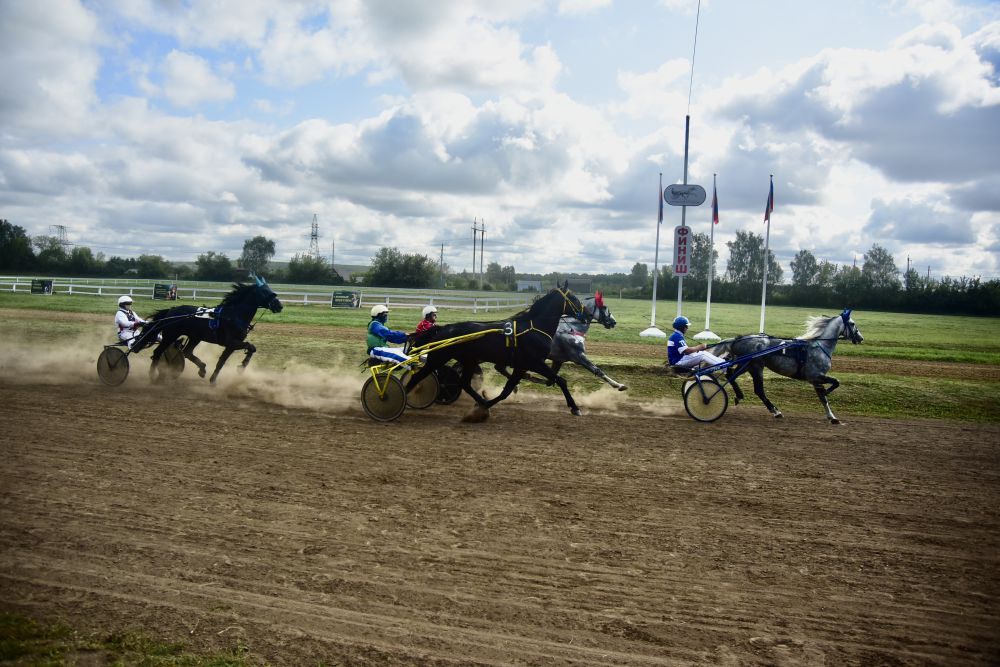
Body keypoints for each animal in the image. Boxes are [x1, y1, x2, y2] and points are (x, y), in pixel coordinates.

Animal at [135, 274, 284, 384]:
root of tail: (171, 310)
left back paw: (202, 369)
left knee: (187, 352)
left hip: (195, 337)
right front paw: (242, 366)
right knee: (158, 352)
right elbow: (251, 347)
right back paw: (153, 375)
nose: (279, 306)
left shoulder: (231, 345)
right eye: (265, 292)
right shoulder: (232, 342)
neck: (233, 315)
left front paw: (213, 380)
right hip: (170, 335)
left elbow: (222, 362)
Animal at [406, 286, 584, 418]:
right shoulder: (535, 362)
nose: (587, 314)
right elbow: (561, 381)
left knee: (464, 383)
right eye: (575, 298)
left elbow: (507, 390)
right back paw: (406, 396)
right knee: (417, 377)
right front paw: (575, 407)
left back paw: (480, 400)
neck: (533, 329)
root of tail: (443, 328)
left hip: (468, 360)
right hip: (438, 358)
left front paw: (485, 404)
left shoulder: (521, 366)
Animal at [712, 310, 860, 426]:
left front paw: (832, 416)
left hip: (747, 365)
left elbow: (823, 397)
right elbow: (834, 384)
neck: (819, 347)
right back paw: (775, 411)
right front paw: (829, 397)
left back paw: (740, 396)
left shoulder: (816, 379)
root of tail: (738, 339)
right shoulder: (816, 376)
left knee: (731, 374)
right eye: (852, 323)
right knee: (759, 390)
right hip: (755, 367)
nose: (860, 338)